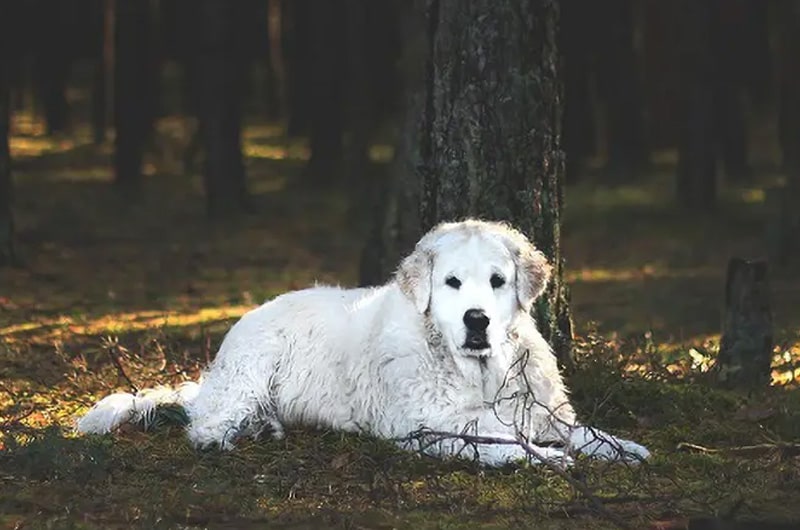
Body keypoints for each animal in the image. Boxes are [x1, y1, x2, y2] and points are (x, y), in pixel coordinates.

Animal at [76, 218, 648, 462]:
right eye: (452, 283)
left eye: (497, 281)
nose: (477, 320)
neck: (477, 370)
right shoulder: (425, 428)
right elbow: (502, 443)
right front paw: (546, 459)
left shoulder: (539, 409)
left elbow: (579, 431)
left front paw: (623, 447)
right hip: (250, 370)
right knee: (203, 424)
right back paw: (230, 436)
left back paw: (266, 428)